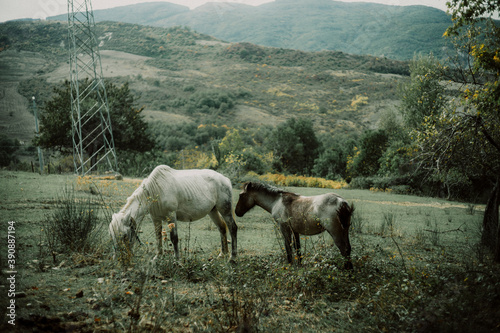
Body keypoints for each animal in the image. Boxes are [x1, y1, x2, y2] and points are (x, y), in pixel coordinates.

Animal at [110, 165, 239, 260]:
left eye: (124, 235)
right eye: (112, 235)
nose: (120, 258)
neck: (155, 190)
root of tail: (225, 179)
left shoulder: (171, 216)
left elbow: (174, 238)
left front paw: (177, 260)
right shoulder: (155, 218)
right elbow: (158, 237)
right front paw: (158, 257)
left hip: (225, 210)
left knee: (232, 228)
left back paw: (232, 257)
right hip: (213, 211)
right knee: (222, 227)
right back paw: (223, 254)